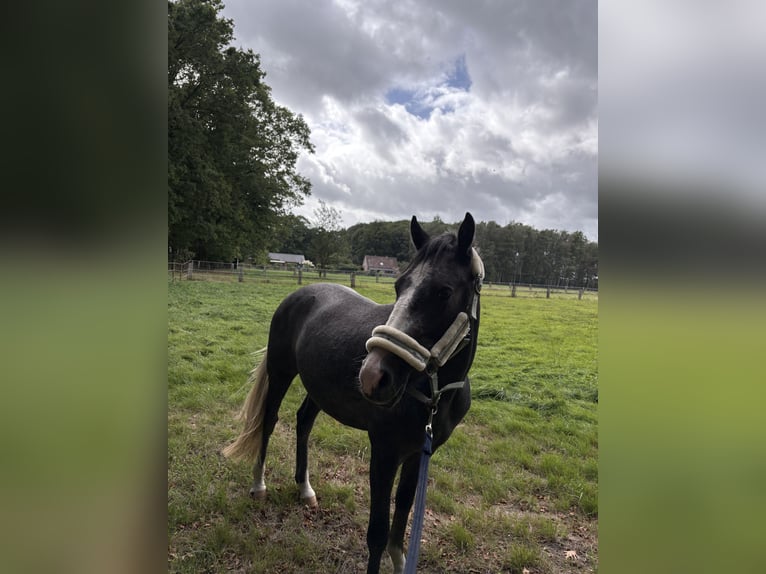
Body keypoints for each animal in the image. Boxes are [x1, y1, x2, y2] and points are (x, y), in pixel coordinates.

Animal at [223, 212, 483, 573]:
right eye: (399, 285)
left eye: (444, 291)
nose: (373, 375)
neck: (434, 393)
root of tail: (298, 295)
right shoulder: (384, 452)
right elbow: (377, 534)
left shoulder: (417, 454)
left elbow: (401, 524)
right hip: (280, 373)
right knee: (269, 421)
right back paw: (258, 485)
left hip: (317, 390)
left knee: (303, 421)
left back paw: (304, 489)